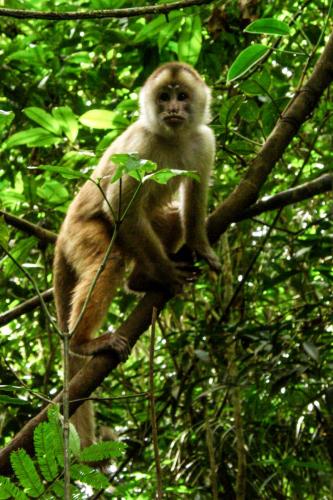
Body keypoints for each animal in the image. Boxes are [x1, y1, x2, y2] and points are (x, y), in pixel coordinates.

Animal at [53, 60, 219, 448]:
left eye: (182, 96)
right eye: (164, 97)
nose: (172, 109)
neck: (172, 137)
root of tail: (62, 231)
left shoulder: (204, 141)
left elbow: (195, 197)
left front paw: (200, 247)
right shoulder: (141, 143)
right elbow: (118, 207)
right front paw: (168, 275)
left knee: (169, 215)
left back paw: (141, 280)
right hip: (81, 234)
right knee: (109, 258)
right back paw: (85, 342)